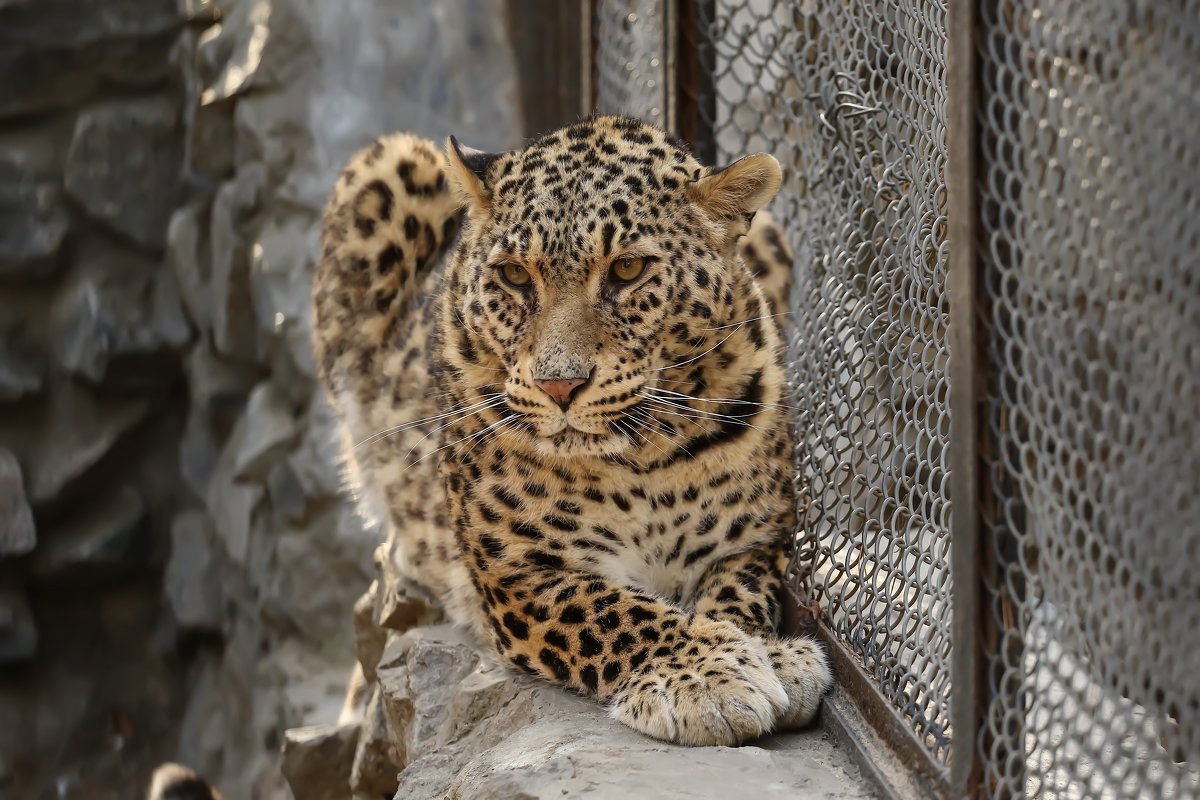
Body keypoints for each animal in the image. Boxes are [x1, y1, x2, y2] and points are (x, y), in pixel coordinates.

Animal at [314, 115, 830, 748]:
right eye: (514, 275)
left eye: (628, 269)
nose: (559, 385)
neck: (646, 458)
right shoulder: (520, 572)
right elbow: (613, 611)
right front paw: (705, 677)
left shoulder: (757, 539)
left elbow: (741, 593)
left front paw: (774, 656)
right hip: (388, 164)